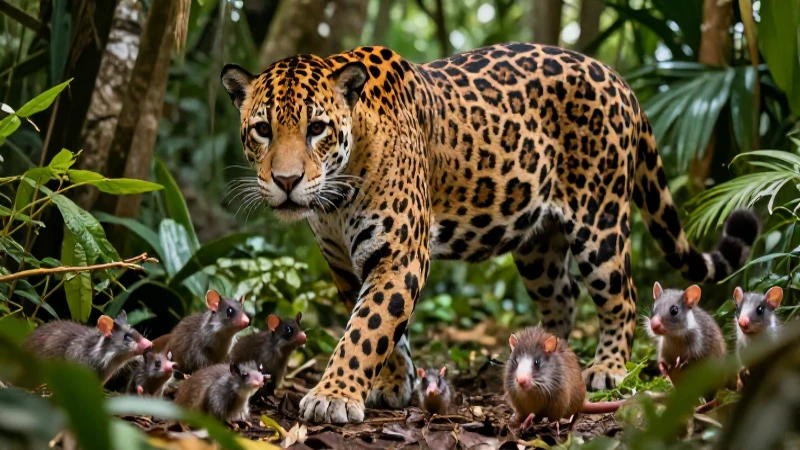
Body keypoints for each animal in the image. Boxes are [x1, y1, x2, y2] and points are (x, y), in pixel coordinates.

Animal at [220, 42, 758, 424]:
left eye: (317, 128)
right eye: (263, 130)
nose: (287, 182)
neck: (336, 193)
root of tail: (616, 77)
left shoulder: (400, 254)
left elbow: (367, 328)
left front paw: (333, 395)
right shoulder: (345, 264)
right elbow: (385, 328)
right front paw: (391, 384)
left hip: (600, 220)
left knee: (620, 297)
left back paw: (606, 367)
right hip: (538, 246)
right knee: (563, 296)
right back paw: (545, 357)